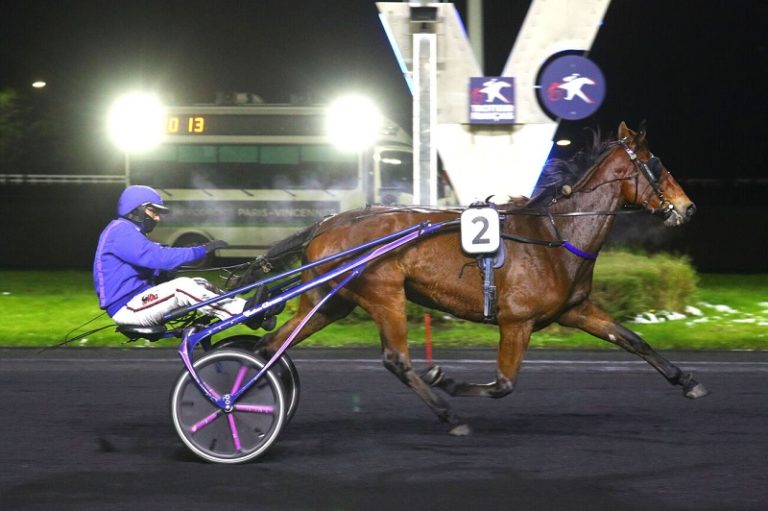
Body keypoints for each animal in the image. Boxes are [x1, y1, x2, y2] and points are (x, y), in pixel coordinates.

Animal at [246, 121, 709, 435]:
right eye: (656, 165)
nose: (688, 207)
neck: (555, 235)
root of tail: (327, 223)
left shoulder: (575, 310)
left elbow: (633, 340)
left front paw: (687, 381)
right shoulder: (516, 321)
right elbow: (503, 384)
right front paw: (447, 380)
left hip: (331, 301)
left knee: (270, 346)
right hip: (384, 295)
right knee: (396, 360)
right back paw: (448, 414)